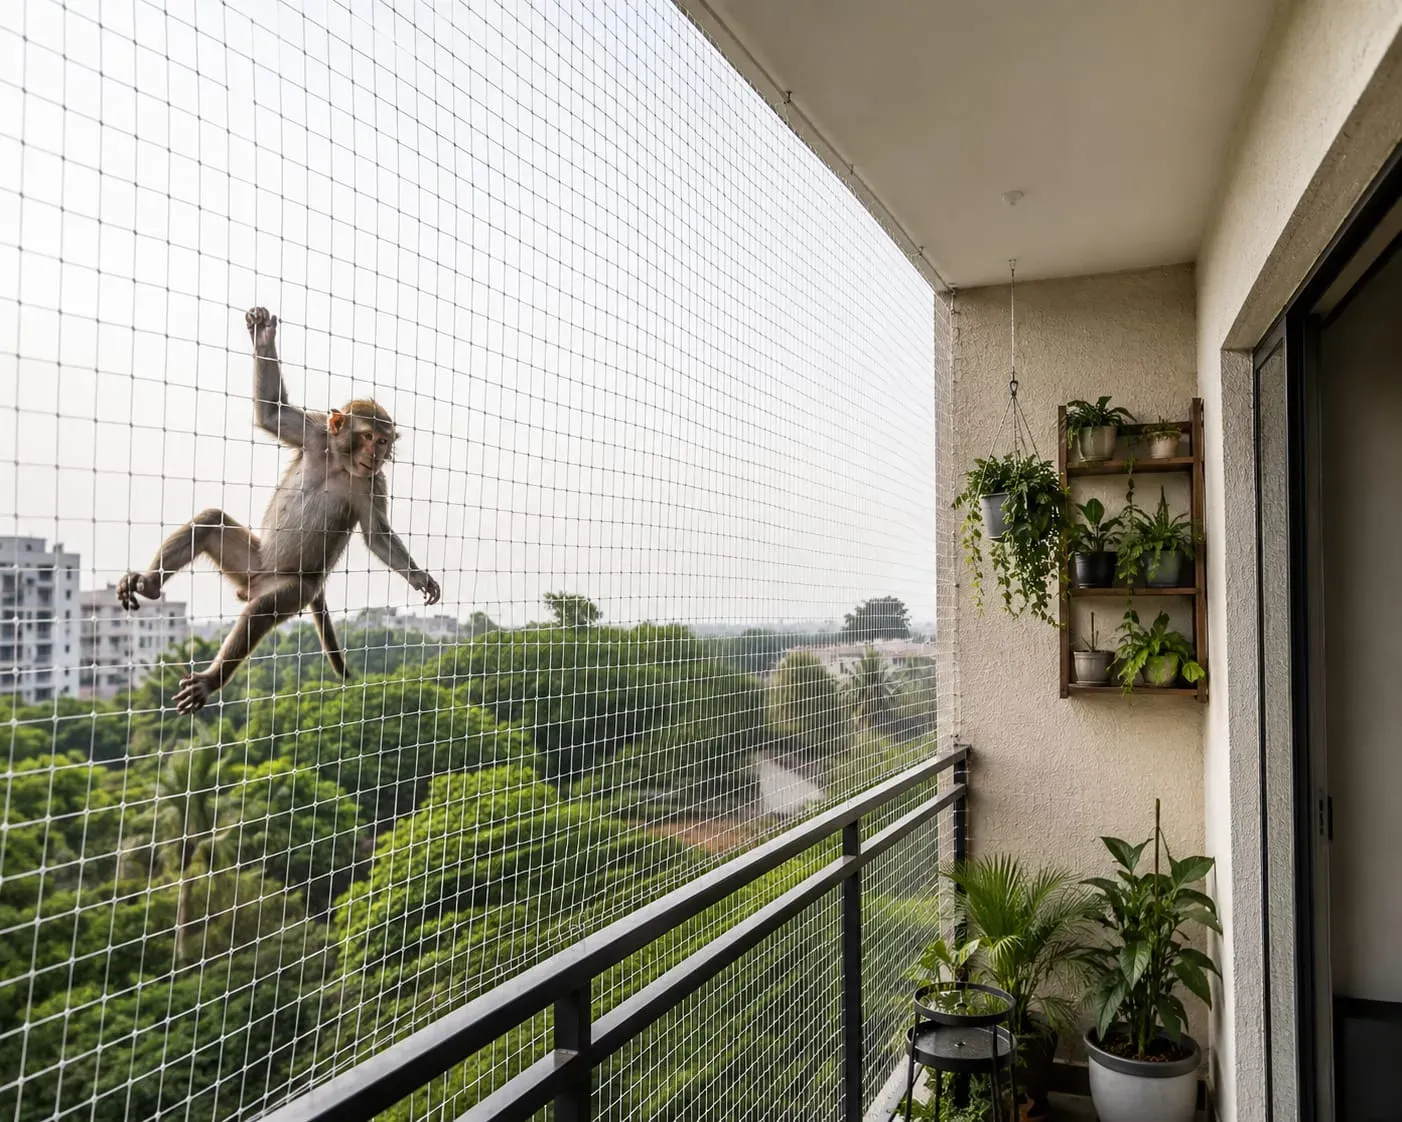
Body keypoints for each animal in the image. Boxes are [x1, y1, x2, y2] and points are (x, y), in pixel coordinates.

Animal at [117, 307, 441, 715]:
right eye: (368, 436)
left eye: (383, 441)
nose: (377, 453)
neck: (340, 465)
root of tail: (255, 583)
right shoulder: (315, 434)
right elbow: (273, 413)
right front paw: (264, 337)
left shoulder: (372, 483)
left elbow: (377, 535)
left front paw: (419, 578)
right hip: (251, 562)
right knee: (210, 522)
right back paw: (148, 584)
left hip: (293, 586)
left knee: (262, 610)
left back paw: (210, 679)